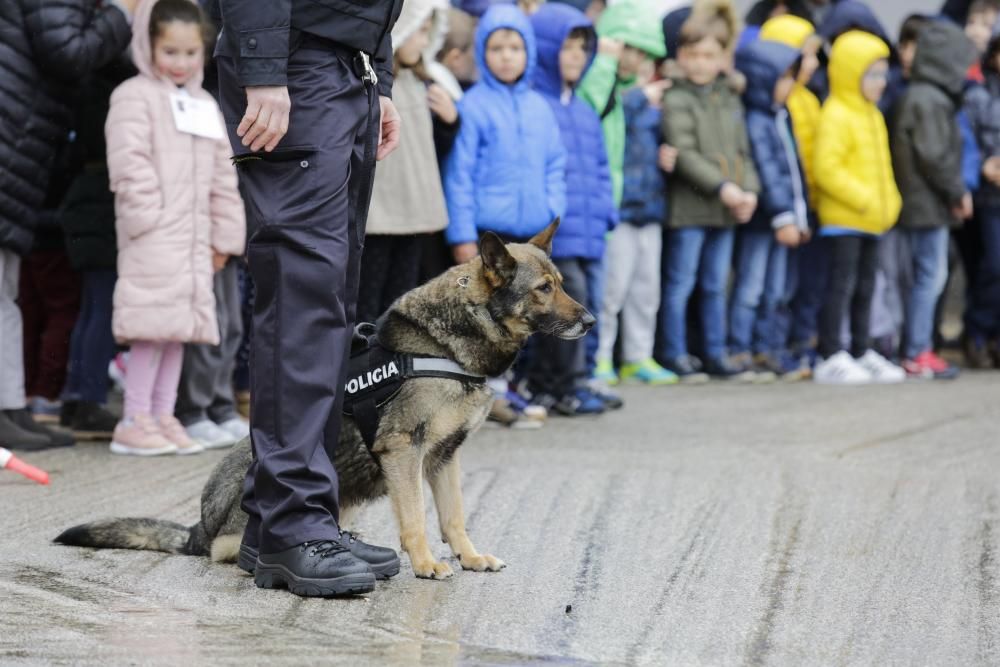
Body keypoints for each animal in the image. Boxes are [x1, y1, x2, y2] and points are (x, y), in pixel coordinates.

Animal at [54, 222, 592, 580]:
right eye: (543, 289)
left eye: (561, 285)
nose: (589, 322)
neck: (452, 340)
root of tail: (199, 528)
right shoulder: (404, 451)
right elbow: (416, 518)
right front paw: (423, 563)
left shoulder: (444, 457)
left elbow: (453, 516)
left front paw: (469, 556)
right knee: (226, 548)